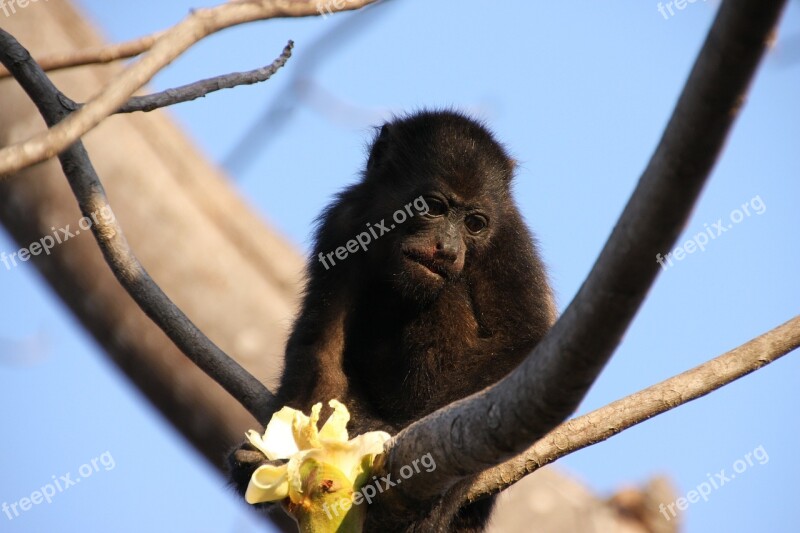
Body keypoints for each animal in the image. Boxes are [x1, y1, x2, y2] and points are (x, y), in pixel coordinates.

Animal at [228, 110, 556, 528]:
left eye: (475, 224)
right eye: (434, 206)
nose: (448, 249)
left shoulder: (509, 242)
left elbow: (521, 343)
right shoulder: (344, 220)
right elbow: (324, 348)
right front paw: (277, 462)